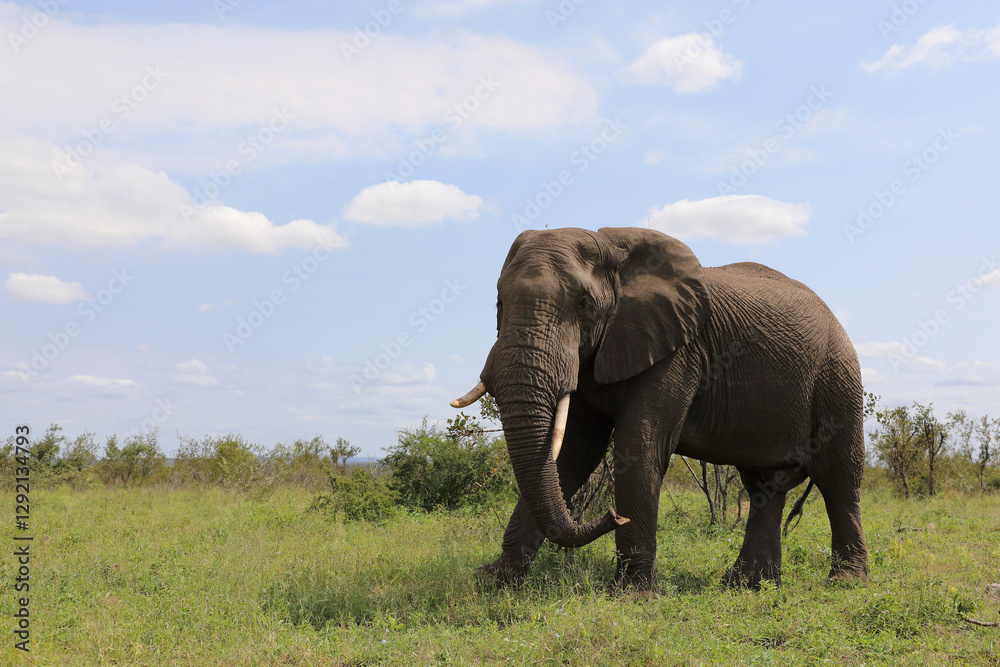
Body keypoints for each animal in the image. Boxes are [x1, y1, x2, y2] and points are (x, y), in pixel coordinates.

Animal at [450, 226, 868, 592]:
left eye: (584, 305)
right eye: (499, 303)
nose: (612, 515)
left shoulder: (678, 351)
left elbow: (639, 443)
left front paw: (633, 595)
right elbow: (571, 454)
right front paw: (494, 581)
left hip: (838, 376)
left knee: (839, 477)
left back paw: (844, 582)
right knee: (766, 486)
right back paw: (746, 586)